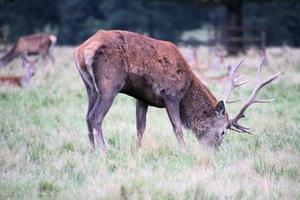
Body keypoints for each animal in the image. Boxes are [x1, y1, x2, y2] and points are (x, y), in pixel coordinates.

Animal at [74, 29, 280, 152]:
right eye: (222, 132)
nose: (213, 152)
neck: (187, 86)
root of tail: (81, 50)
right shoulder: (171, 94)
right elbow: (178, 127)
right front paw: (184, 151)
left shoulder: (142, 98)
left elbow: (140, 128)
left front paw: (137, 151)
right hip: (110, 83)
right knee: (95, 117)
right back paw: (103, 151)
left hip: (90, 86)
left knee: (86, 116)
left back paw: (92, 150)